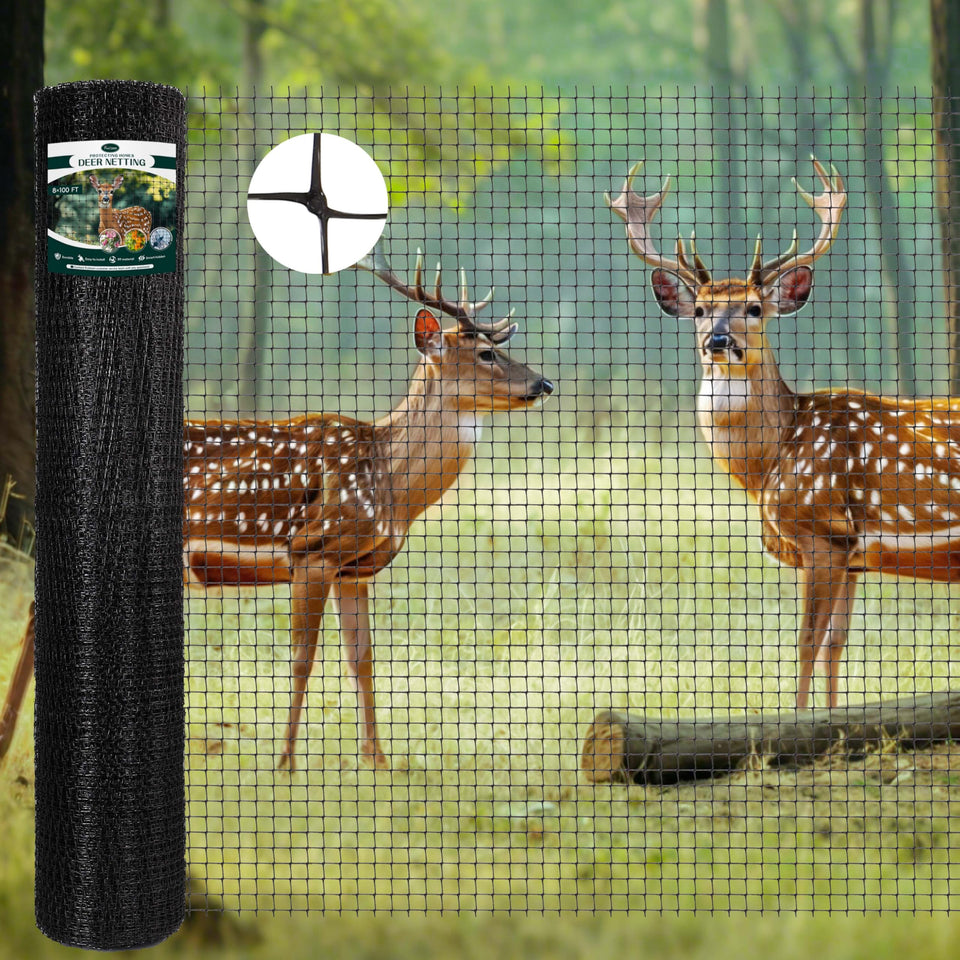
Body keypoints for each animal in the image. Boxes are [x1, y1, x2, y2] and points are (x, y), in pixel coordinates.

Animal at [183, 248, 553, 770]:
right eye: (486, 354)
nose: (545, 383)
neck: (390, 488)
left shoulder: (353, 569)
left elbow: (362, 659)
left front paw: (377, 761)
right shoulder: (312, 550)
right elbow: (302, 659)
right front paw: (286, 765)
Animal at [609, 157, 960, 712]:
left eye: (755, 308)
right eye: (701, 309)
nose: (718, 340)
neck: (771, 460)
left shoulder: (822, 531)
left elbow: (806, 642)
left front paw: (795, 719)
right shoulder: (852, 553)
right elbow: (836, 644)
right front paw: (832, 719)